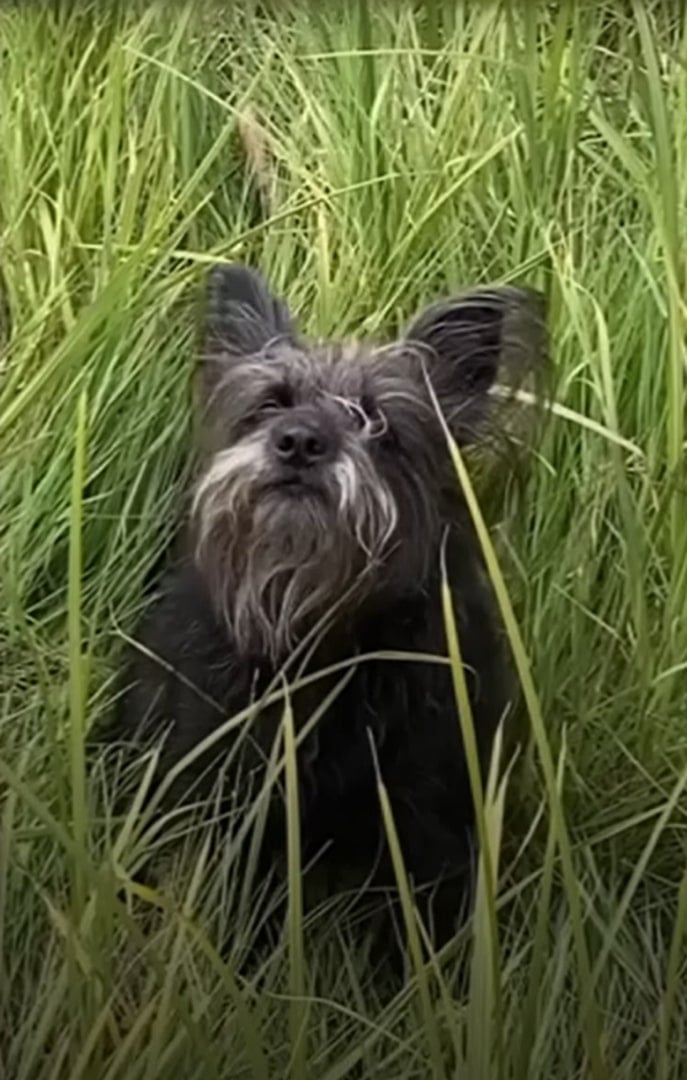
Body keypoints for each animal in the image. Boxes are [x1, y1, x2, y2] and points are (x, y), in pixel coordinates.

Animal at [100, 265, 546, 967]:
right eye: (270, 405)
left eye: (378, 421)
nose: (300, 442)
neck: (321, 636)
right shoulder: (225, 790)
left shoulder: (432, 814)